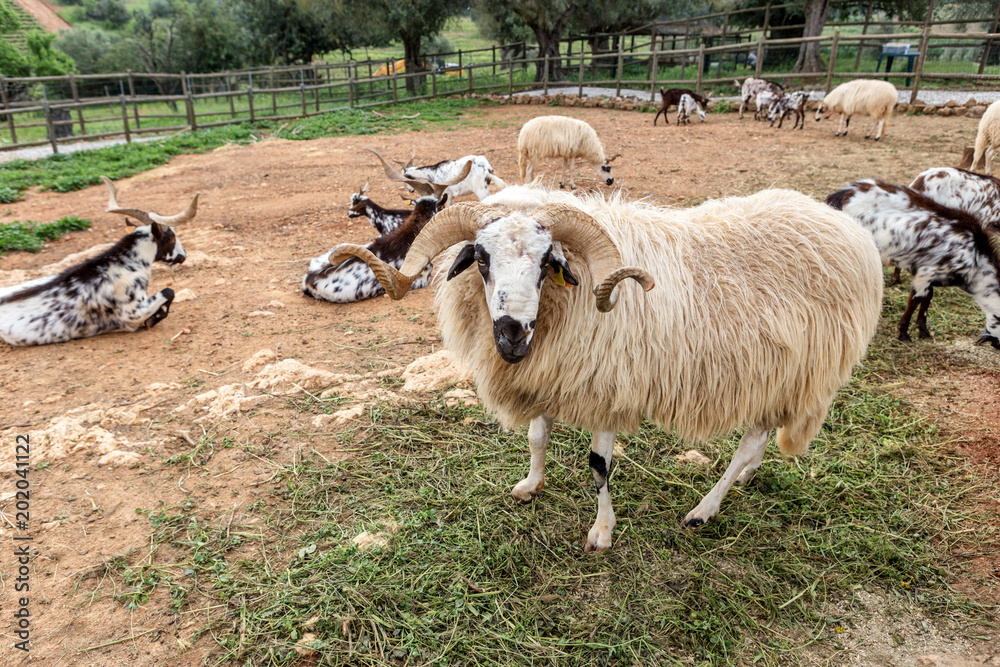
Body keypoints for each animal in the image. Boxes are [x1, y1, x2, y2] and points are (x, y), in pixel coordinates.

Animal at [0, 177, 197, 346]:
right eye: (172, 237)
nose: (183, 255)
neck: (124, 265)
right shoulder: (133, 313)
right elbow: (169, 291)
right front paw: (152, 320)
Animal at [329, 186, 883, 551]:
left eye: (547, 262)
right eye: (482, 258)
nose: (511, 333)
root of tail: (848, 229)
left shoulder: (606, 388)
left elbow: (598, 466)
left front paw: (601, 531)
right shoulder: (548, 374)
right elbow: (537, 437)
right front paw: (531, 485)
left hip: (802, 370)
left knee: (749, 441)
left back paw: (704, 510)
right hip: (776, 375)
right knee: (761, 437)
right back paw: (745, 478)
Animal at [827, 179, 1000, 348]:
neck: (976, 258)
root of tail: (842, 194)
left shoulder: (928, 275)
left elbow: (928, 297)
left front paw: (923, 330)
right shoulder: (926, 272)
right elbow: (916, 299)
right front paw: (903, 333)